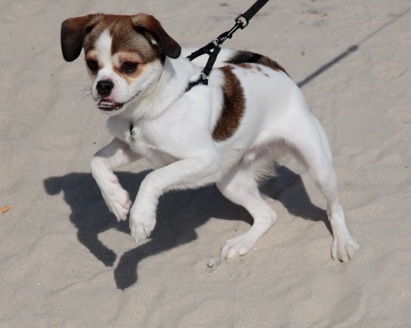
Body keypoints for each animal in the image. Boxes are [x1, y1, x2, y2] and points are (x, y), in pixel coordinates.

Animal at [61, 13, 360, 262]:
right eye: (92, 64)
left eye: (129, 66)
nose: (103, 86)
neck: (145, 108)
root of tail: (274, 69)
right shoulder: (132, 146)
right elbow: (96, 162)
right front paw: (115, 199)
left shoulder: (206, 160)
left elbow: (153, 178)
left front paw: (140, 217)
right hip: (230, 182)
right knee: (268, 215)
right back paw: (242, 243)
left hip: (317, 165)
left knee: (334, 208)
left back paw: (342, 243)